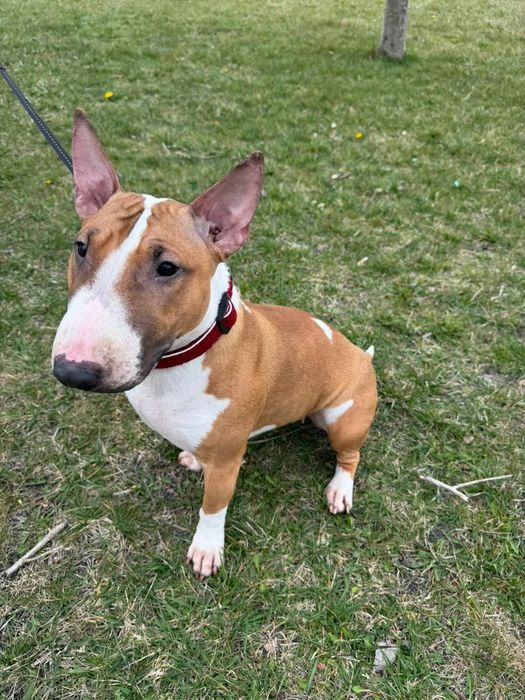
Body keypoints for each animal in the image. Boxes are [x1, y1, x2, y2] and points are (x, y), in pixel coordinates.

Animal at [52, 109, 377, 577]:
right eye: (81, 247)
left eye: (167, 267)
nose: (72, 370)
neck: (179, 363)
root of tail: (359, 355)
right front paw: (191, 457)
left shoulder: (226, 465)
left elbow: (212, 508)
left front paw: (207, 550)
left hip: (343, 419)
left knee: (350, 456)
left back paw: (340, 490)